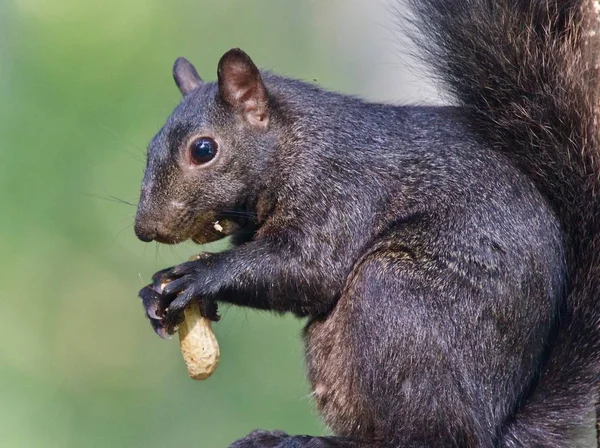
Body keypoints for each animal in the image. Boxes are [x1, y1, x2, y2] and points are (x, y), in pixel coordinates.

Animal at [134, 1, 600, 446]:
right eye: (150, 147)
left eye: (204, 149)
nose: (145, 228)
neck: (295, 143)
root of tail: (498, 426)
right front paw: (156, 290)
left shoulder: (342, 188)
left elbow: (307, 270)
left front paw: (201, 275)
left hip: (396, 299)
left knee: (432, 437)